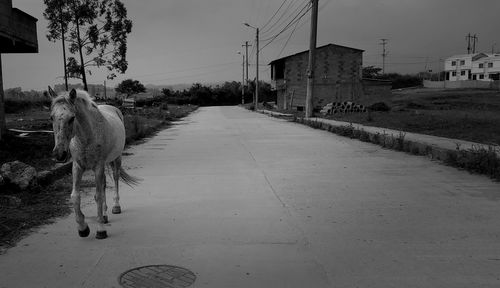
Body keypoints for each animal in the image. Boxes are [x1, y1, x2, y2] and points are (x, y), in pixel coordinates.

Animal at [49, 87, 139, 238]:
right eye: (51, 117)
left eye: (72, 118)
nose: (59, 154)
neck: (86, 137)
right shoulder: (77, 167)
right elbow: (75, 196)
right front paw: (83, 228)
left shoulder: (98, 166)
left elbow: (98, 196)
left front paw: (101, 230)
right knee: (103, 185)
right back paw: (105, 215)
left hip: (116, 159)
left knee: (115, 179)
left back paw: (116, 206)